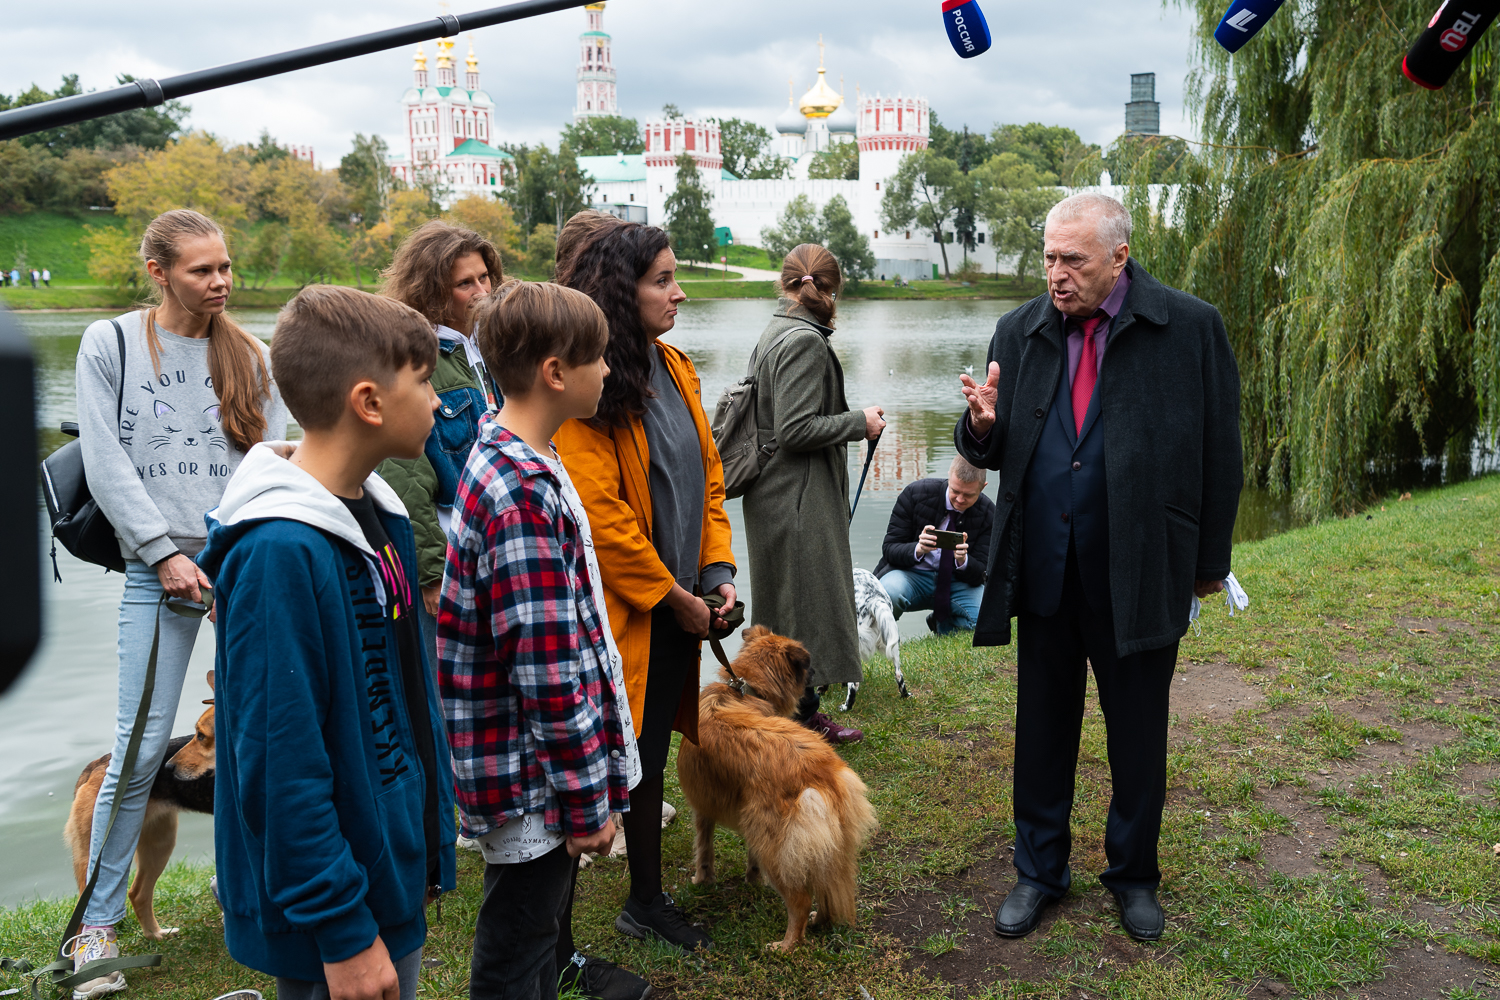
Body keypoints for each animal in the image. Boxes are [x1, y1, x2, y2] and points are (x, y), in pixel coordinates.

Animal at [63, 671, 216, 940]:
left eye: (201, 736)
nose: (168, 767)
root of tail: (97, 765)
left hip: (159, 843)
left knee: (137, 893)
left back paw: (155, 936)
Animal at [677, 626, 878, 951]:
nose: (818, 675)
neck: (745, 691)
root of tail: (821, 770)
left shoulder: (703, 809)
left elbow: (704, 851)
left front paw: (701, 881)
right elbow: (748, 860)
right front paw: (751, 880)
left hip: (774, 846)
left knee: (800, 900)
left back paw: (785, 946)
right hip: (824, 844)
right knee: (825, 888)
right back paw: (819, 922)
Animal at [842, 568, 909, 711]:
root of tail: (873, 599)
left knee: (854, 685)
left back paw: (846, 707)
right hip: (892, 642)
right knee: (898, 674)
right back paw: (905, 695)